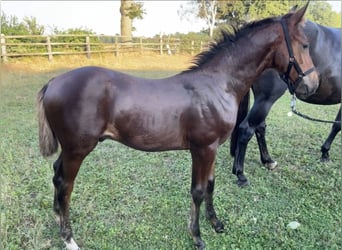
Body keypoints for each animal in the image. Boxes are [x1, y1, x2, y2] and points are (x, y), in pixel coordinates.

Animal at [36, 4, 318, 250]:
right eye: (305, 45)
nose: (312, 85)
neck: (218, 84)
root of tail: (53, 82)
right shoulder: (202, 149)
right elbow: (198, 191)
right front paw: (197, 236)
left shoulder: (212, 149)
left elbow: (211, 185)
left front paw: (216, 223)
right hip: (78, 149)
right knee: (65, 184)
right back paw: (69, 238)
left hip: (70, 148)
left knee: (56, 174)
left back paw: (57, 218)